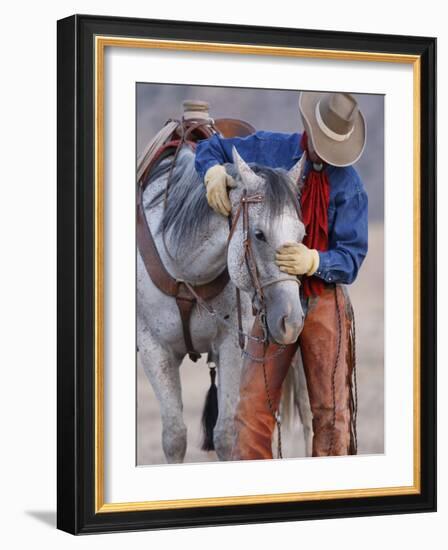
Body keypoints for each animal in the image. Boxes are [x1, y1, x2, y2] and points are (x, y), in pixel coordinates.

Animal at [136, 144, 312, 464]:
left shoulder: (231, 345)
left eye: (302, 235)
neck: (184, 269)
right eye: (259, 234)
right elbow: (175, 437)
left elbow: (226, 435)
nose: (291, 322)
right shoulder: (155, 349)